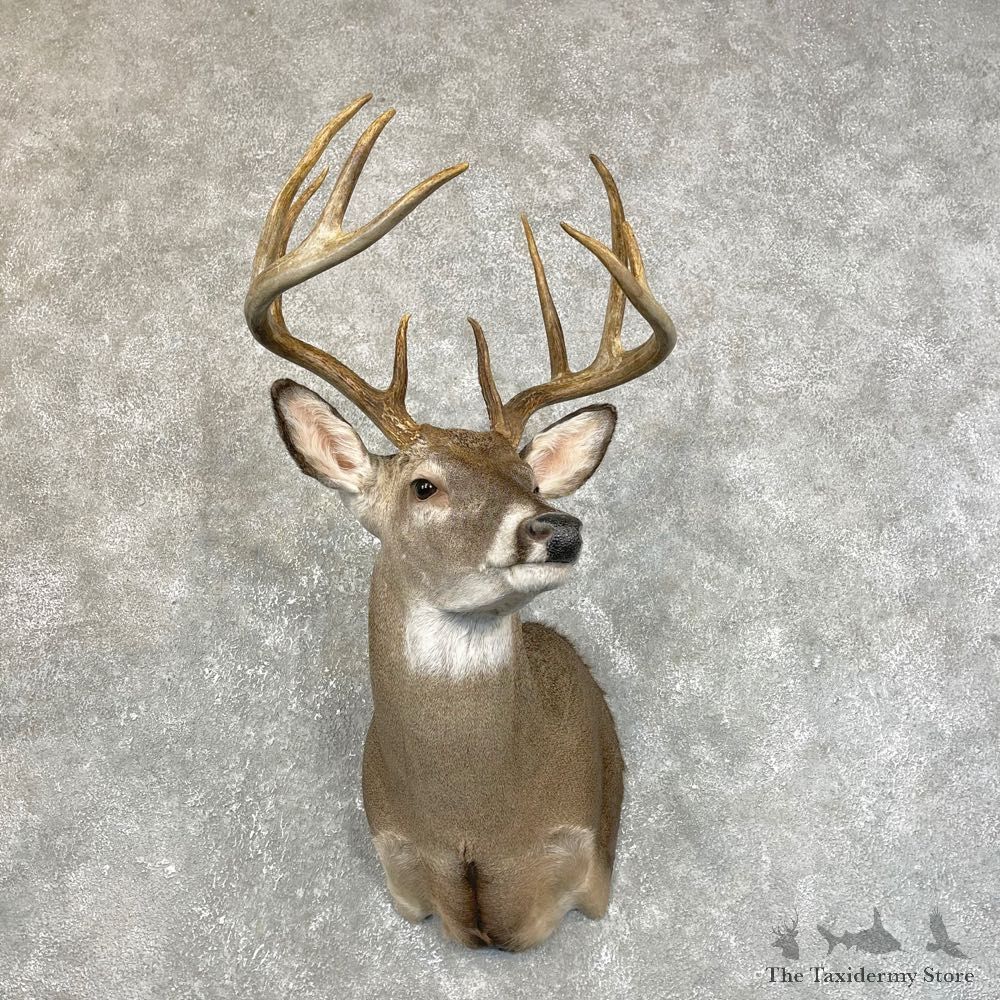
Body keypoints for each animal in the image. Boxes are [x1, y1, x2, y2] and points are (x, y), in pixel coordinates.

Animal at [244, 93, 677, 951]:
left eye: (529, 477)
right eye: (424, 486)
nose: (557, 529)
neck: (474, 820)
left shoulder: (587, 867)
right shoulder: (400, 871)